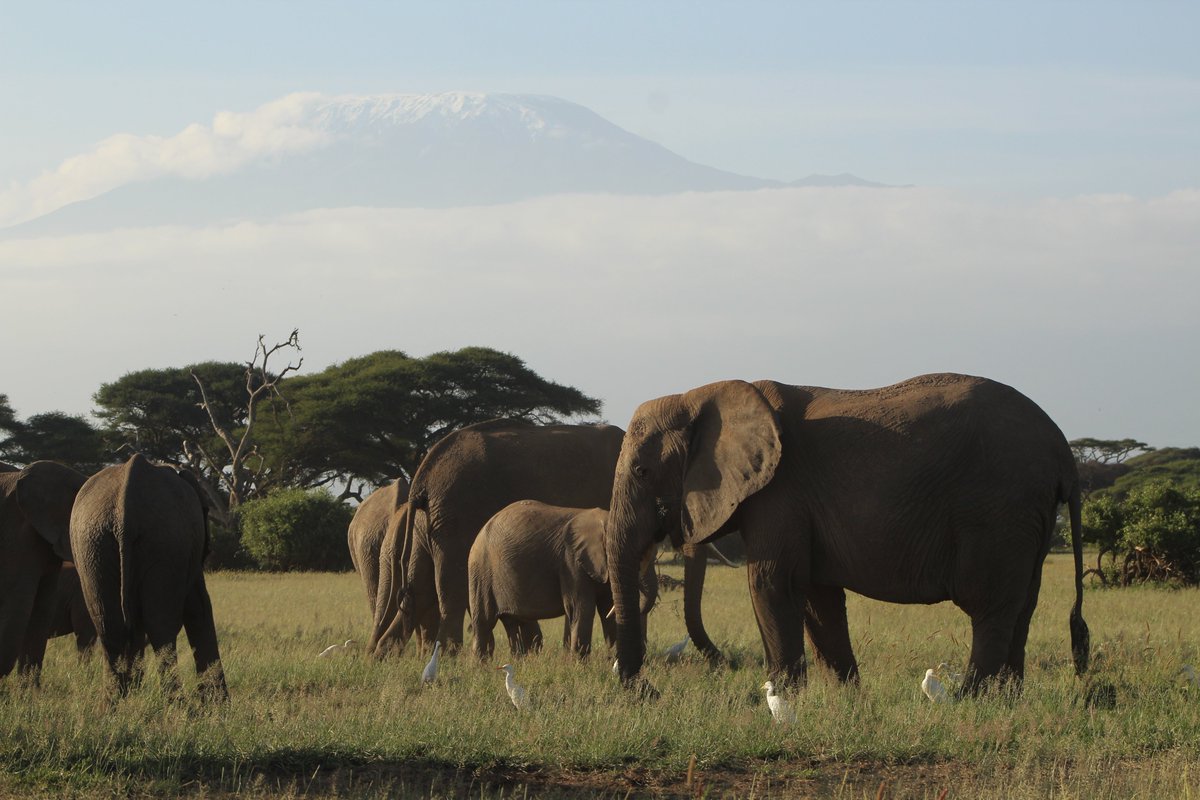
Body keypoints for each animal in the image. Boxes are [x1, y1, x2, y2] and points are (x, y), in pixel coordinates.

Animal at [70, 453, 228, 701]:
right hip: (166, 541)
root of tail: (125, 506)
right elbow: (199, 605)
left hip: (92, 543)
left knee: (109, 625)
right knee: (161, 626)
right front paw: (217, 705)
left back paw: (112, 703)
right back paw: (179, 706)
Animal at [370, 418, 627, 656]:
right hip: (457, 516)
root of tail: (421, 480)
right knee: (451, 591)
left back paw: (383, 657)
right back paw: (448, 658)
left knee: (420, 590)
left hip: (430, 523)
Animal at [468, 501, 658, 659]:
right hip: (481, 570)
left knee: (516, 622)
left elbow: (608, 608)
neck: (606, 519)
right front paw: (579, 665)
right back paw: (482, 666)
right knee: (484, 621)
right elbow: (581, 607)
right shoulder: (571, 561)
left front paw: (615, 662)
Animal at [605, 373, 1089, 695]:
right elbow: (818, 599)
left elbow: (772, 583)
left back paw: (969, 700)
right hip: (1027, 516)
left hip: (998, 511)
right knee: (1022, 605)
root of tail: (1063, 450)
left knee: (990, 607)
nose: (647, 691)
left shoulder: (780, 490)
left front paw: (782, 699)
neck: (699, 395)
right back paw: (1006, 700)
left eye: (642, 471)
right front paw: (847, 700)